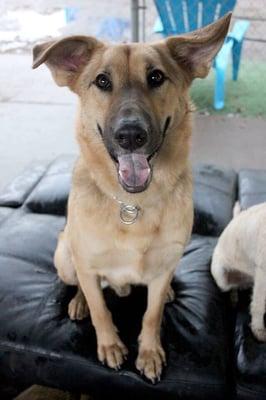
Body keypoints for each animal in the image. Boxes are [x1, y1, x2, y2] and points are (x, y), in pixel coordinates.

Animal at [31, 12, 231, 382]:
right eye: (101, 81)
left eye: (156, 77)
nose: (130, 135)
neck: (131, 206)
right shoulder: (87, 263)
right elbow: (100, 310)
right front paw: (110, 345)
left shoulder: (162, 269)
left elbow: (151, 315)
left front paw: (149, 353)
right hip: (65, 258)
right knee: (82, 284)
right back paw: (79, 300)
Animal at [212, 203, 266, 340]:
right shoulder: (263, 273)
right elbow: (258, 304)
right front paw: (258, 330)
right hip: (222, 278)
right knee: (232, 286)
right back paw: (233, 298)